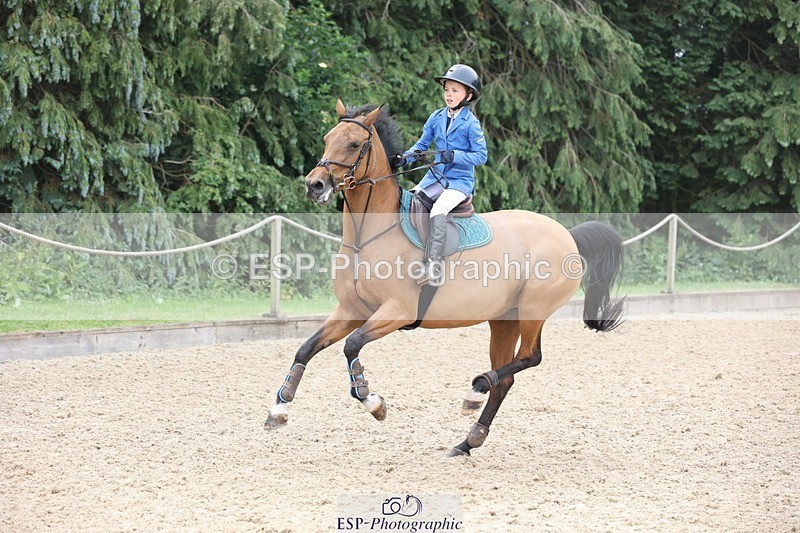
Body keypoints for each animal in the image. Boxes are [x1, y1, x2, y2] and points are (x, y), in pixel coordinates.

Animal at [264, 99, 625, 456]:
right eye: (327, 139)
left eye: (354, 144)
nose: (315, 185)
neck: (367, 235)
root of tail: (568, 235)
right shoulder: (352, 310)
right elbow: (306, 349)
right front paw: (279, 409)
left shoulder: (397, 312)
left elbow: (352, 346)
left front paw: (373, 402)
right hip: (504, 319)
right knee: (507, 378)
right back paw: (468, 440)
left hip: (532, 312)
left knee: (530, 357)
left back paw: (476, 390)